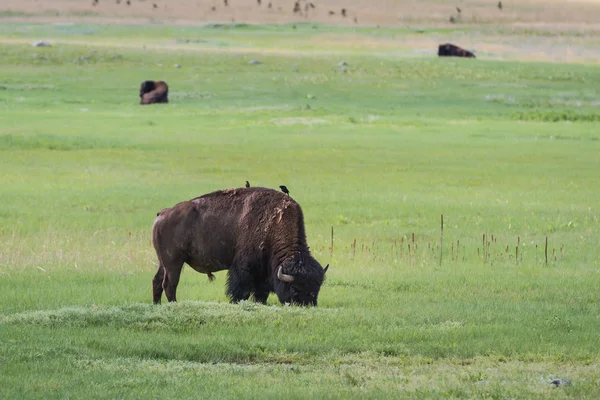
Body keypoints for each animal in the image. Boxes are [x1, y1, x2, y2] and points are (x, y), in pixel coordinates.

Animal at [150, 187, 328, 306]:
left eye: (316, 289)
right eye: (295, 289)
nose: (307, 305)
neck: (273, 223)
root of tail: (163, 213)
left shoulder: (263, 272)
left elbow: (260, 292)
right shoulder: (244, 267)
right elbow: (240, 289)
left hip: (163, 262)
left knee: (157, 281)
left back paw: (157, 305)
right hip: (174, 262)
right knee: (170, 284)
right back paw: (173, 305)